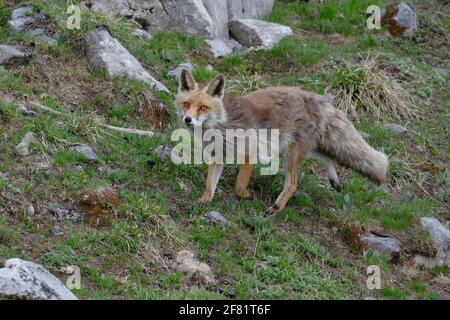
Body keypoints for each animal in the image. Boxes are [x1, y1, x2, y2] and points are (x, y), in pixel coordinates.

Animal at [174, 70, 388, 215]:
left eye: (203, 108)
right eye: (186, 104)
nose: (187, 120)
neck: (222, 125)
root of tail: (315, 98)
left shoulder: (249, 153)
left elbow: (239, 188)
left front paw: (248, 196)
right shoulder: (218, 156)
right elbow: (209, 185)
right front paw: (203, 202)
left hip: (291, 155)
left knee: (293, 184)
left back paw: (276, 208)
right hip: (296, 148)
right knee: (326, 156)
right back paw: (335, 181)